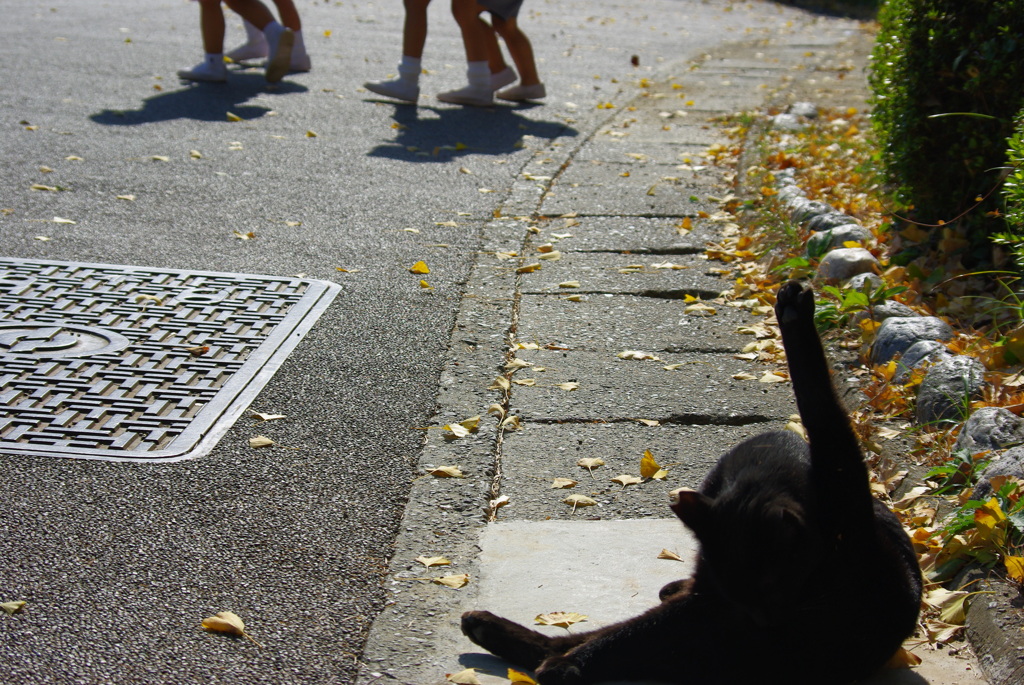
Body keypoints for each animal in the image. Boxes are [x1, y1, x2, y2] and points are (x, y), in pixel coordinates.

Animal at [460, 282, 925, 683]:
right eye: (748, 595)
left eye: (773, 586)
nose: (763, 622)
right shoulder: (716, 586)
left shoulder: (845, 496)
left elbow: (826, 414)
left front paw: (796, 313)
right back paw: (488, 626)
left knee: (601, 641)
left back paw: (540, 653)